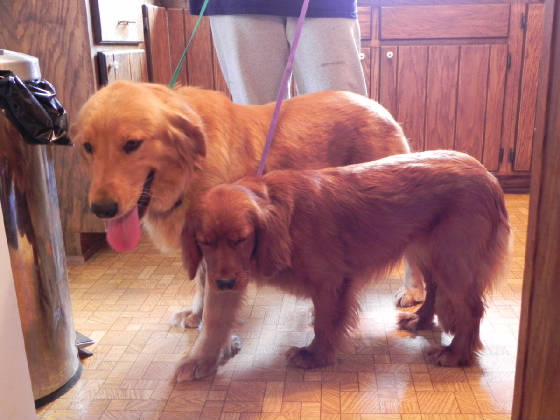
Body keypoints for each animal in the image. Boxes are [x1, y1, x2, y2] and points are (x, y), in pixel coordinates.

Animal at [70, 80, 418, 332]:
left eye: (132, 144)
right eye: (87, 147)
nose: (101, 209)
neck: (190, 169)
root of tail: (380, 108)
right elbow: (202, 282)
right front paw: (197, 314)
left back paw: (413, 292)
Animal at [180, 150, 512, 380]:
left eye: (241, 239)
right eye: (204, 242)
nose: (223, 284)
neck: (286, 220)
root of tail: (489, 175)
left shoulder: (331, 282)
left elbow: (325, 323)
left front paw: (314, 356)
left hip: (453, 260)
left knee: (472, 309)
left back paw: (456, 354)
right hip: (428, 253)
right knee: (433, 289)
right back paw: (421, 320)